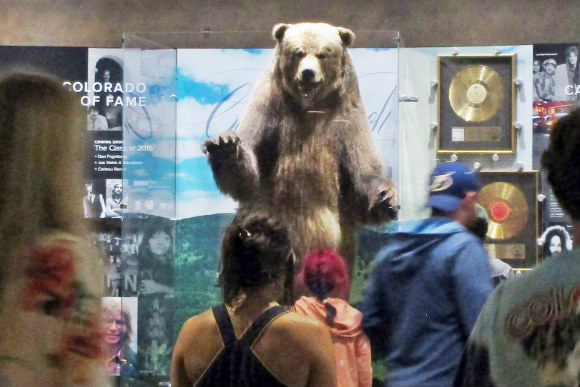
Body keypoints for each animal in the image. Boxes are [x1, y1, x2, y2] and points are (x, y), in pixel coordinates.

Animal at [202, 22, 396, 278]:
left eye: (323, 53)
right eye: (298, 52)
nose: (308, 73)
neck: (309, 108)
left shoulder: (347, 123)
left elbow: (362, 177)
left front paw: (386, 198)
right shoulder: (270, 112)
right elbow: (248, 177)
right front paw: (224, 146)